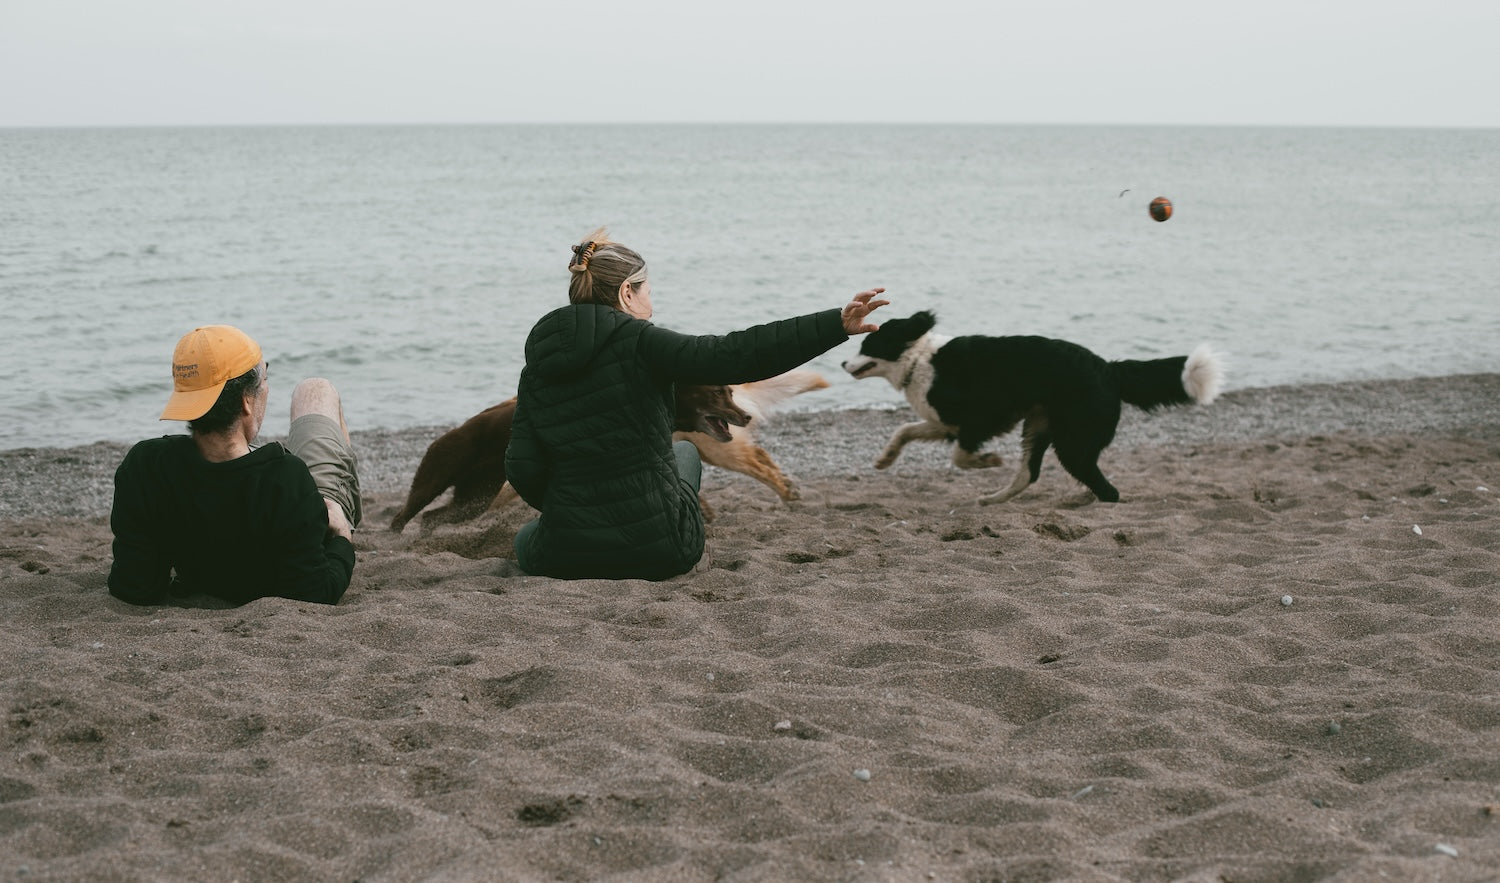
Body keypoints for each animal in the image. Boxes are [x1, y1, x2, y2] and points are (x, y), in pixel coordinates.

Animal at [846, 310, 1218, 503]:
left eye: (867, 345)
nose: (842, 364)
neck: (919, 359)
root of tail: (1109, 368)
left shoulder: (982, 418)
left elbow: (961, 456)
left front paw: (987, 460)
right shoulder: (947, 422)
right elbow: (904, 430)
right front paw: (885, 459)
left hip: (1072, 442)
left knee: (1106, 488)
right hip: (1040, 426)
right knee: (1029, 473)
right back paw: (995, 498)